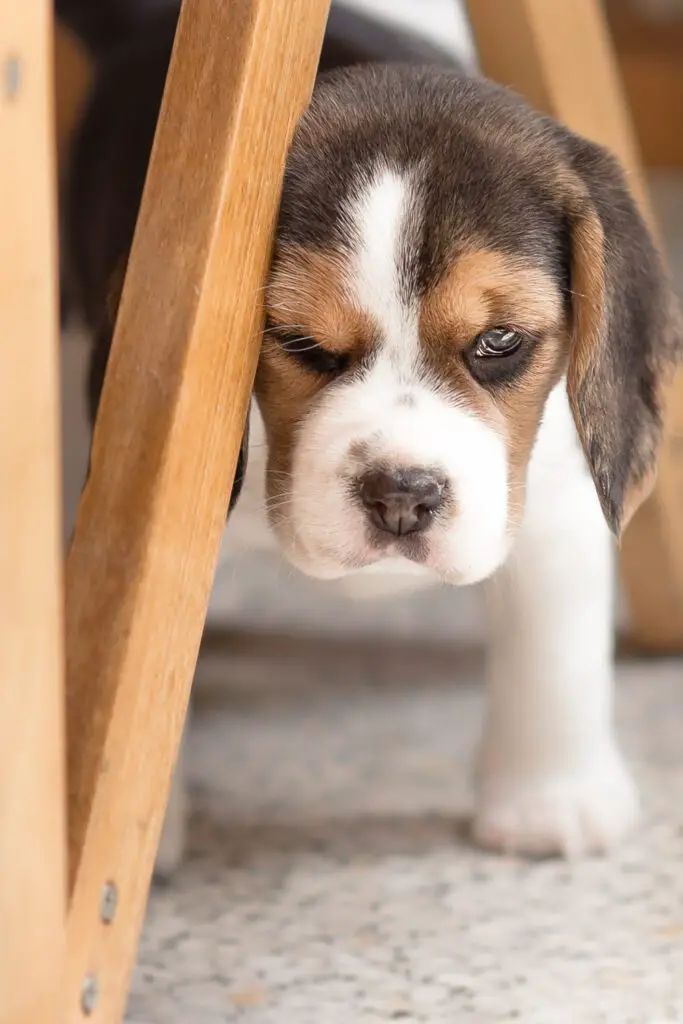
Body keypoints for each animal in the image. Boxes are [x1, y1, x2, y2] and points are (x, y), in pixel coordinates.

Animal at [66, 8, 679, 872]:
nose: (401, 496)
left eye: (498, 341)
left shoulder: (557, 495)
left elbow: (554, 651)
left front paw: (551, 802)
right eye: (299, 342)